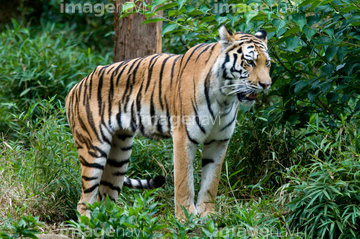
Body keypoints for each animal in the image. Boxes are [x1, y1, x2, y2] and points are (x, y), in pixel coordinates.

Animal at [66, 25, 272, 218]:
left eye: (268, 63)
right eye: (249, 62)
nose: (266, 84)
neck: (224, 98)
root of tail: (75, 87)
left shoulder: (218, 141)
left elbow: (211, 182)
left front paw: (208, 215)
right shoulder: (184, 137)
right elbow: (184, 181)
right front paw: (186, 217)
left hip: (119, 154)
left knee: (105, 196)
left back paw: (110, 222)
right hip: (94, 148)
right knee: (84, 200)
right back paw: (89, 223)